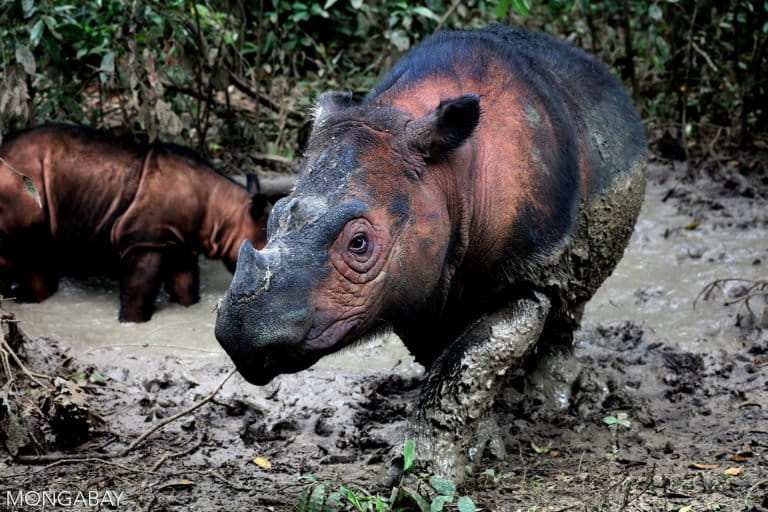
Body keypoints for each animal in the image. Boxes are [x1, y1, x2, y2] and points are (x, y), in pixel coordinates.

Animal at [0, 124, 272, 322]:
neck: (223, 212)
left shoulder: (181, 244)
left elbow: (186, 288)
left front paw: (186, 307)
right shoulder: (144, 241)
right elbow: (139, 290)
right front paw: (131, 322)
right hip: (20, 184)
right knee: (27, 249)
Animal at [216, 24, 648, 480]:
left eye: (359, 244)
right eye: (276, 216)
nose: (241, 335)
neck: (446, 178)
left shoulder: (527, 269)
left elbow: (468, 358)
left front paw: (421, 479)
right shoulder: (410, 284)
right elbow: (453, 366)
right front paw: (476, 445)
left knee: (570, 291)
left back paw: (551, 400)